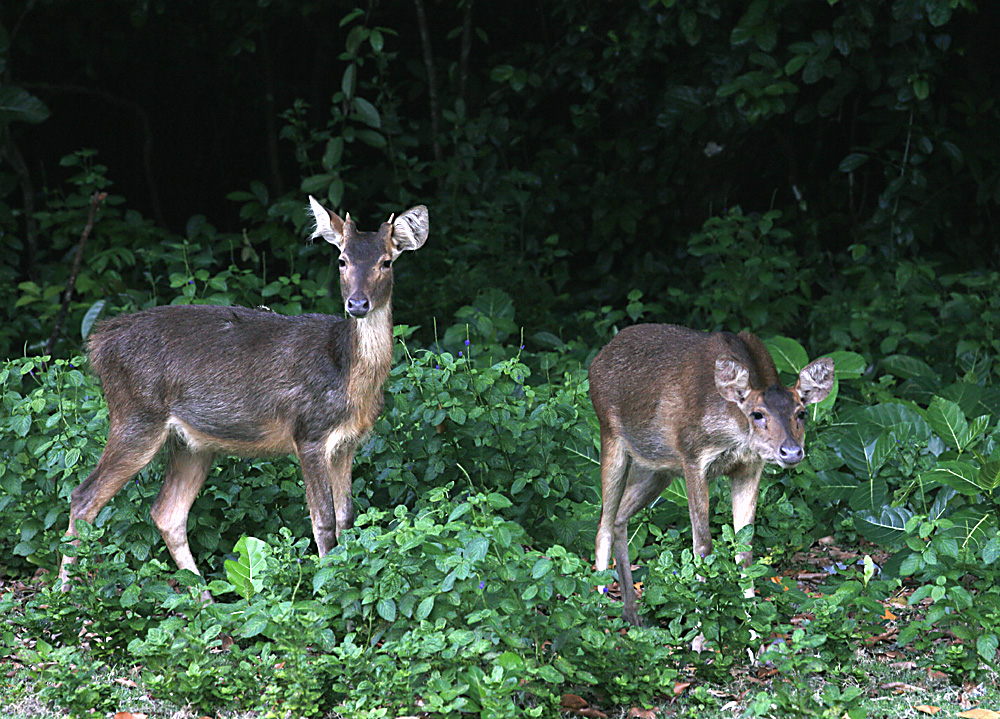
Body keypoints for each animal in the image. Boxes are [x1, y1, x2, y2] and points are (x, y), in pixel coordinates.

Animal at [56, 194, 428, 588]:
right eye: (342, 260)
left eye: (386, 261)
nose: (357, 304)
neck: (347, 374)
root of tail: (98, 344)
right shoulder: (308, 431)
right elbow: (323, 521)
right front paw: (327, 586)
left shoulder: (347, 442)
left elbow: (347, 518)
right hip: (136, 414)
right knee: (84, 497)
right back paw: (66, 593)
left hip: (192, 444)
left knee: (166, 512)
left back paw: (203, 596)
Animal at [588, 324, 832, 628]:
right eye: (758, 414)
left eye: (801, 413)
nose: (791, 451)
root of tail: (597, 360)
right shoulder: (692, 457)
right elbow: (702, 545)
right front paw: (700, 632)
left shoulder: (750, 468)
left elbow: (744, 548)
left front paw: (752, 630)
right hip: (610, 435)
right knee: (603, 525)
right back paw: (599, 613)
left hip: (656, 469)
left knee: (620, 518)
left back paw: (632, 614)